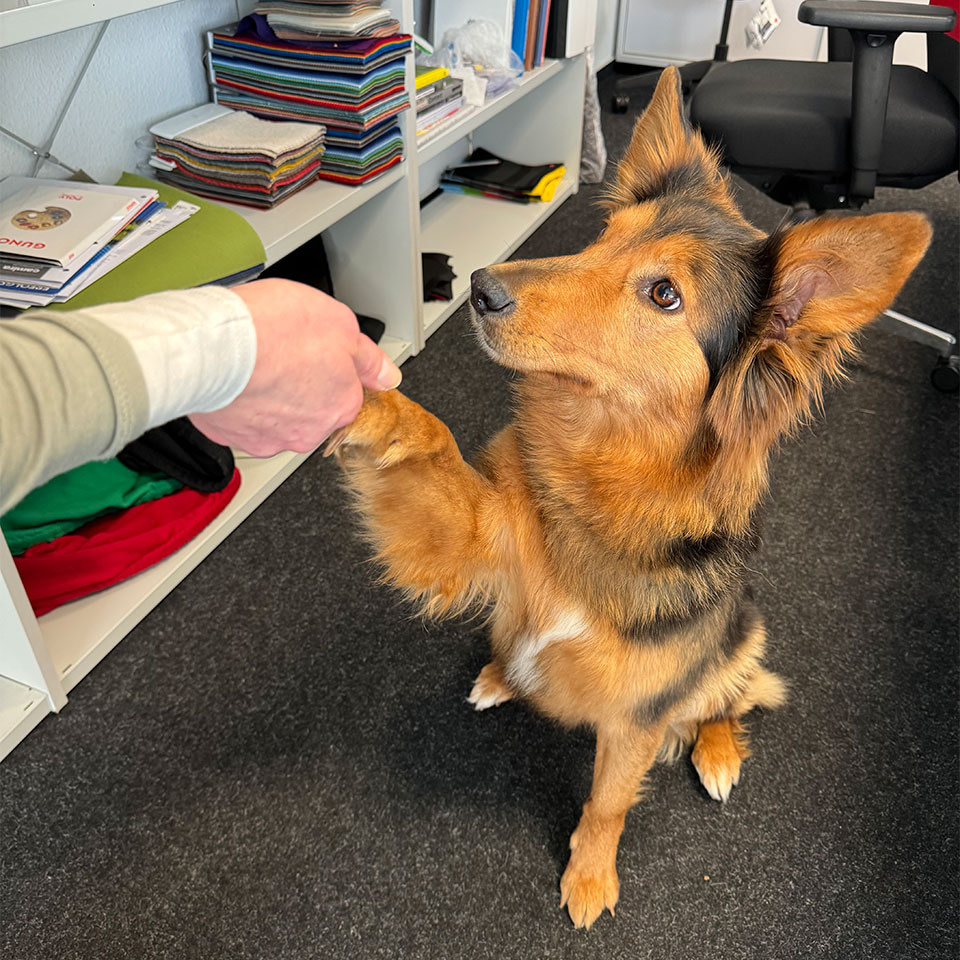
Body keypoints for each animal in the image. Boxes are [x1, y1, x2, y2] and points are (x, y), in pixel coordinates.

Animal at [328, 69, 928, 928]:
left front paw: (589, 875)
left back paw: (717, 752)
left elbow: (609, 801)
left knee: (726, 699)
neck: (601, 482)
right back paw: (504, 674)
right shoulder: (472, 537)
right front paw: (359, 391)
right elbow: (430, 442)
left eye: (664, 295)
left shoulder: (638, 718)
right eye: (604, 237)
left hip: (740, 637)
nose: (478, 287)